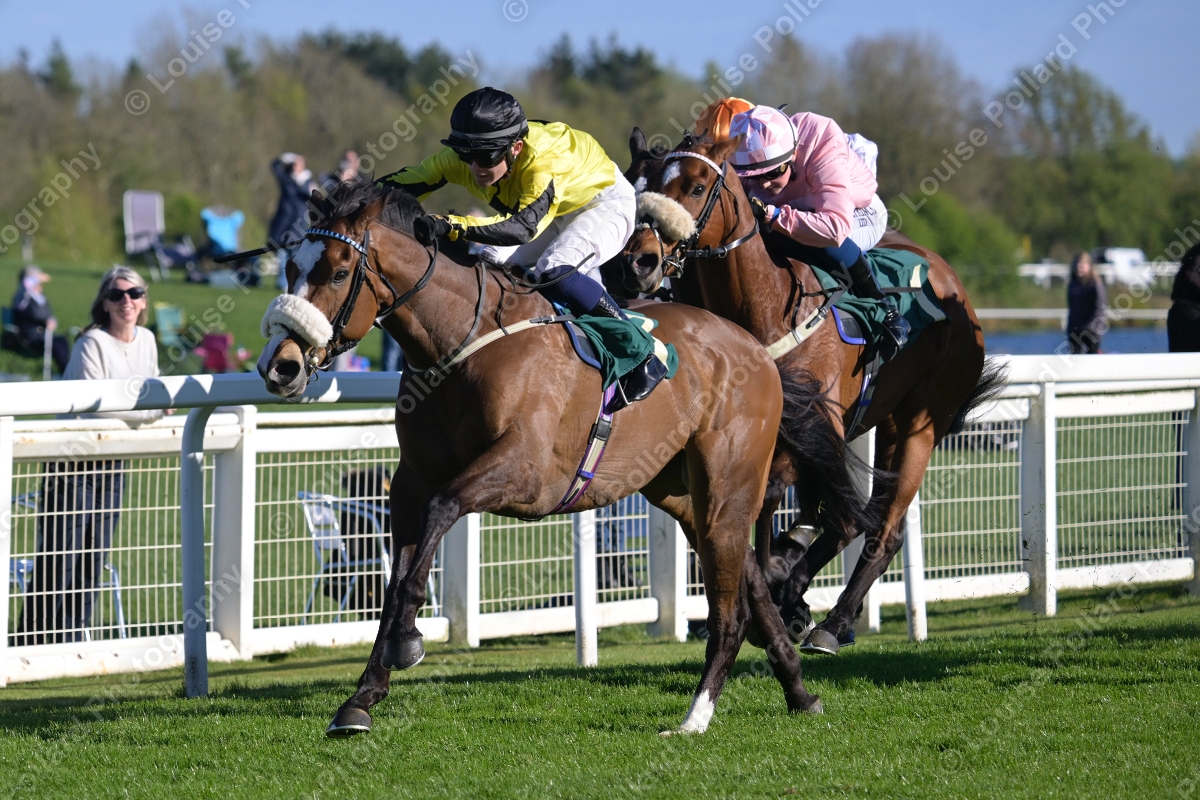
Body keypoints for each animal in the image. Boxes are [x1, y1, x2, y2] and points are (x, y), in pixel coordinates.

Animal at [257, 177, 825, 737]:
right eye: (291, 268)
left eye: (339, 272)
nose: (279, 365)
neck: (459, 346)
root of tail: (756, 348)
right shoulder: (409, 481)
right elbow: (395, 575)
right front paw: (361, 699)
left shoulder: (528, 474)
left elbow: (442, 511)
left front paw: (407, 641)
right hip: (681, 493)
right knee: (749, 577)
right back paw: (799, 690)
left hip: (726, 485)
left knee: (729, 611)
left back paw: (695, 716)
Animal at [620, 132, 1002, 654]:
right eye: (636, 183)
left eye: (696, 187)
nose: (636, 262)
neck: (766, 305)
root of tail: (951, 281)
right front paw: (778, 593)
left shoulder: (817, 421)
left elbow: (775, 501)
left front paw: (776, 594)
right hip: (887, 424)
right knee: (857, 515)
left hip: (922, 423)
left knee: (880, 528)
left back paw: (831, 621)